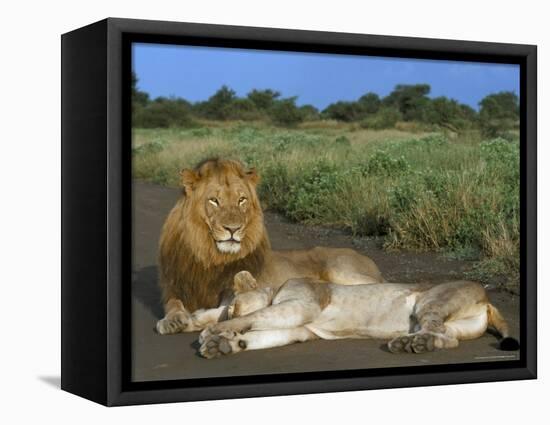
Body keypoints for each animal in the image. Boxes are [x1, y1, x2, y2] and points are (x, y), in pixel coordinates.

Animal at [157, 157, 386, 332]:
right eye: (214, 200)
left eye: (242, 200)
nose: (233, 229)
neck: (210, 256)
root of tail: (368, 259)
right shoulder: (174, 288)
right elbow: (173, 304)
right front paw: (174, 320)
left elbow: (222, 309)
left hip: (340, 270)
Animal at [199, 270, 520, 356]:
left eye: (231, 307)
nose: (224, 317)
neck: (274, 289)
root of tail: (487, 298)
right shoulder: (300, 329)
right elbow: (260, 336)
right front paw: (224, 344)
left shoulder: (300, 306)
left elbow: (253, 318)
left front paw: (212, 333)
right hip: (459, 326)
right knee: (448, 338)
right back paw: (416, 343)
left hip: (431, 300)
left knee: (436, 329)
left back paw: (409, 344)